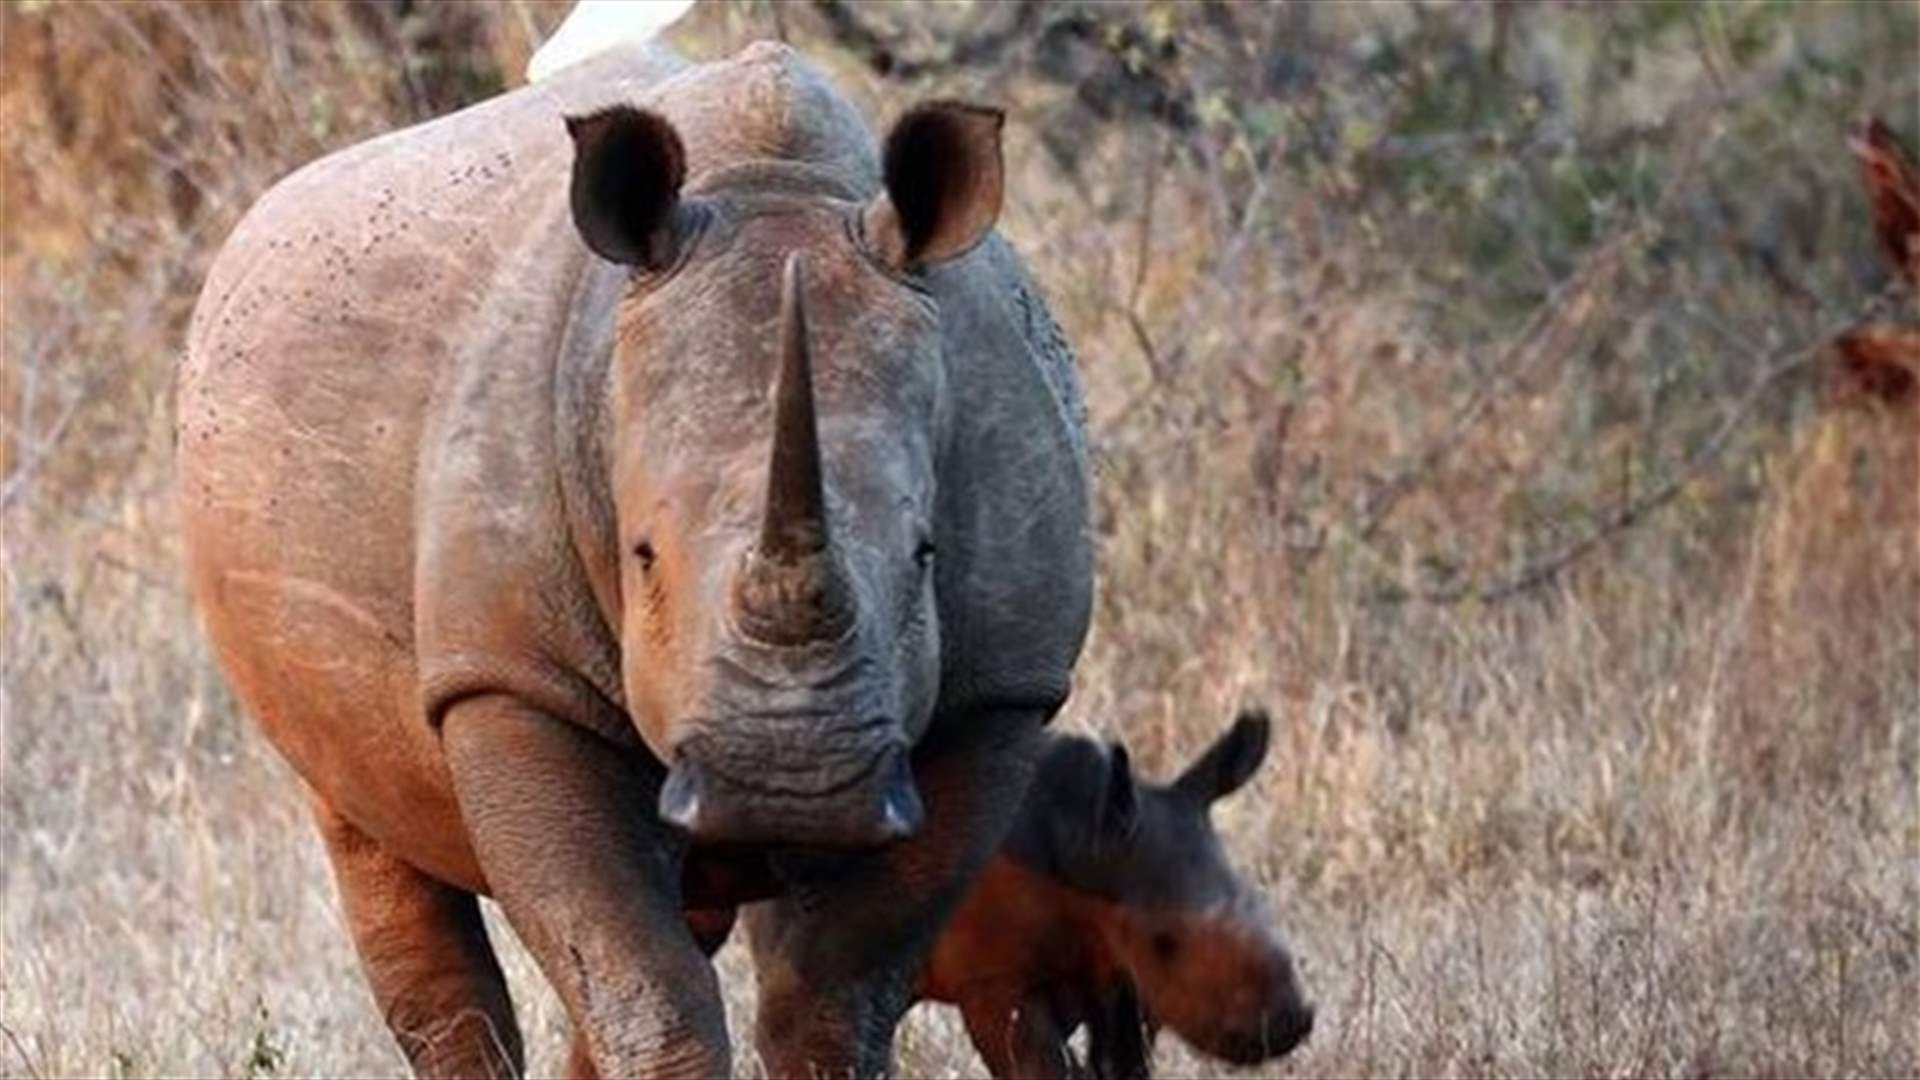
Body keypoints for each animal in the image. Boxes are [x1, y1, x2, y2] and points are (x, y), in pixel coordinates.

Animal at [177, 40, 1091, 1078]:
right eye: (642, 555)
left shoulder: (1001, 692)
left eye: (925, 553)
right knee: (370, 838)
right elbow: (639, 975)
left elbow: (835, 991)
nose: (790, 783)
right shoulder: (511, 677)